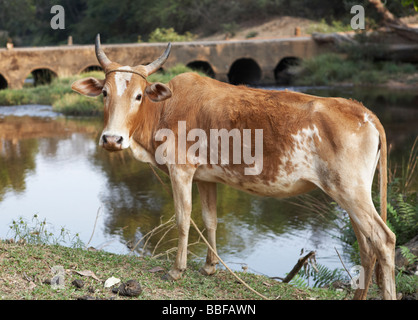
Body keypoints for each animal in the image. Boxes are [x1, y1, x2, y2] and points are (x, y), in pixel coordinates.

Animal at [72, 35, 398, 300]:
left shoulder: (181, 170)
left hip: (350, 191)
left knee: (383, 240)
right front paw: (209, 267)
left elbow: (183, 218)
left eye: (138, 95)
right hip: (350, 194)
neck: (164, 109)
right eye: (105, 93)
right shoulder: (205, 177)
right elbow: (210, 219)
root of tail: (364, 111)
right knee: (366, 245)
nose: (112, 139)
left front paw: (177, 270)